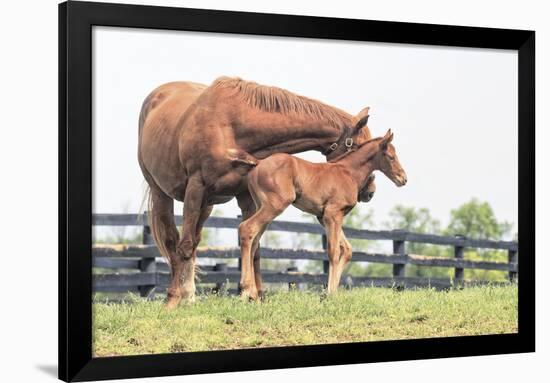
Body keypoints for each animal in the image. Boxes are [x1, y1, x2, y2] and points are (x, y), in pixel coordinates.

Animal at [140, 78, 378, 308]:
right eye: (360, 148)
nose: (369, 192)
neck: (230, 126)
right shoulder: (195, 188)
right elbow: (185, 244)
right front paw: (172, 299)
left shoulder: (245, 197)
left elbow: (254, 246)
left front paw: (256, 295)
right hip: (163, 194)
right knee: (174, 241)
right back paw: (177, 295)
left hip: (207, 204)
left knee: (197, 240)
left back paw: (189, 296)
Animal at [239, 130, 408, 298]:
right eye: (391, 156)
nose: (403, 179)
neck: (348, 173)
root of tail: (258, 164)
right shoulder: (333, 214)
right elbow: (334, 251)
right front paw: (329, 294)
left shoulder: (324, 217)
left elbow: (347, 250)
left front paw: (331, 292)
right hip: (275, 205)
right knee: (246, 228)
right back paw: (246, 289)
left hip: (262, 207)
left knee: (254, 241)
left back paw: (253, 294)